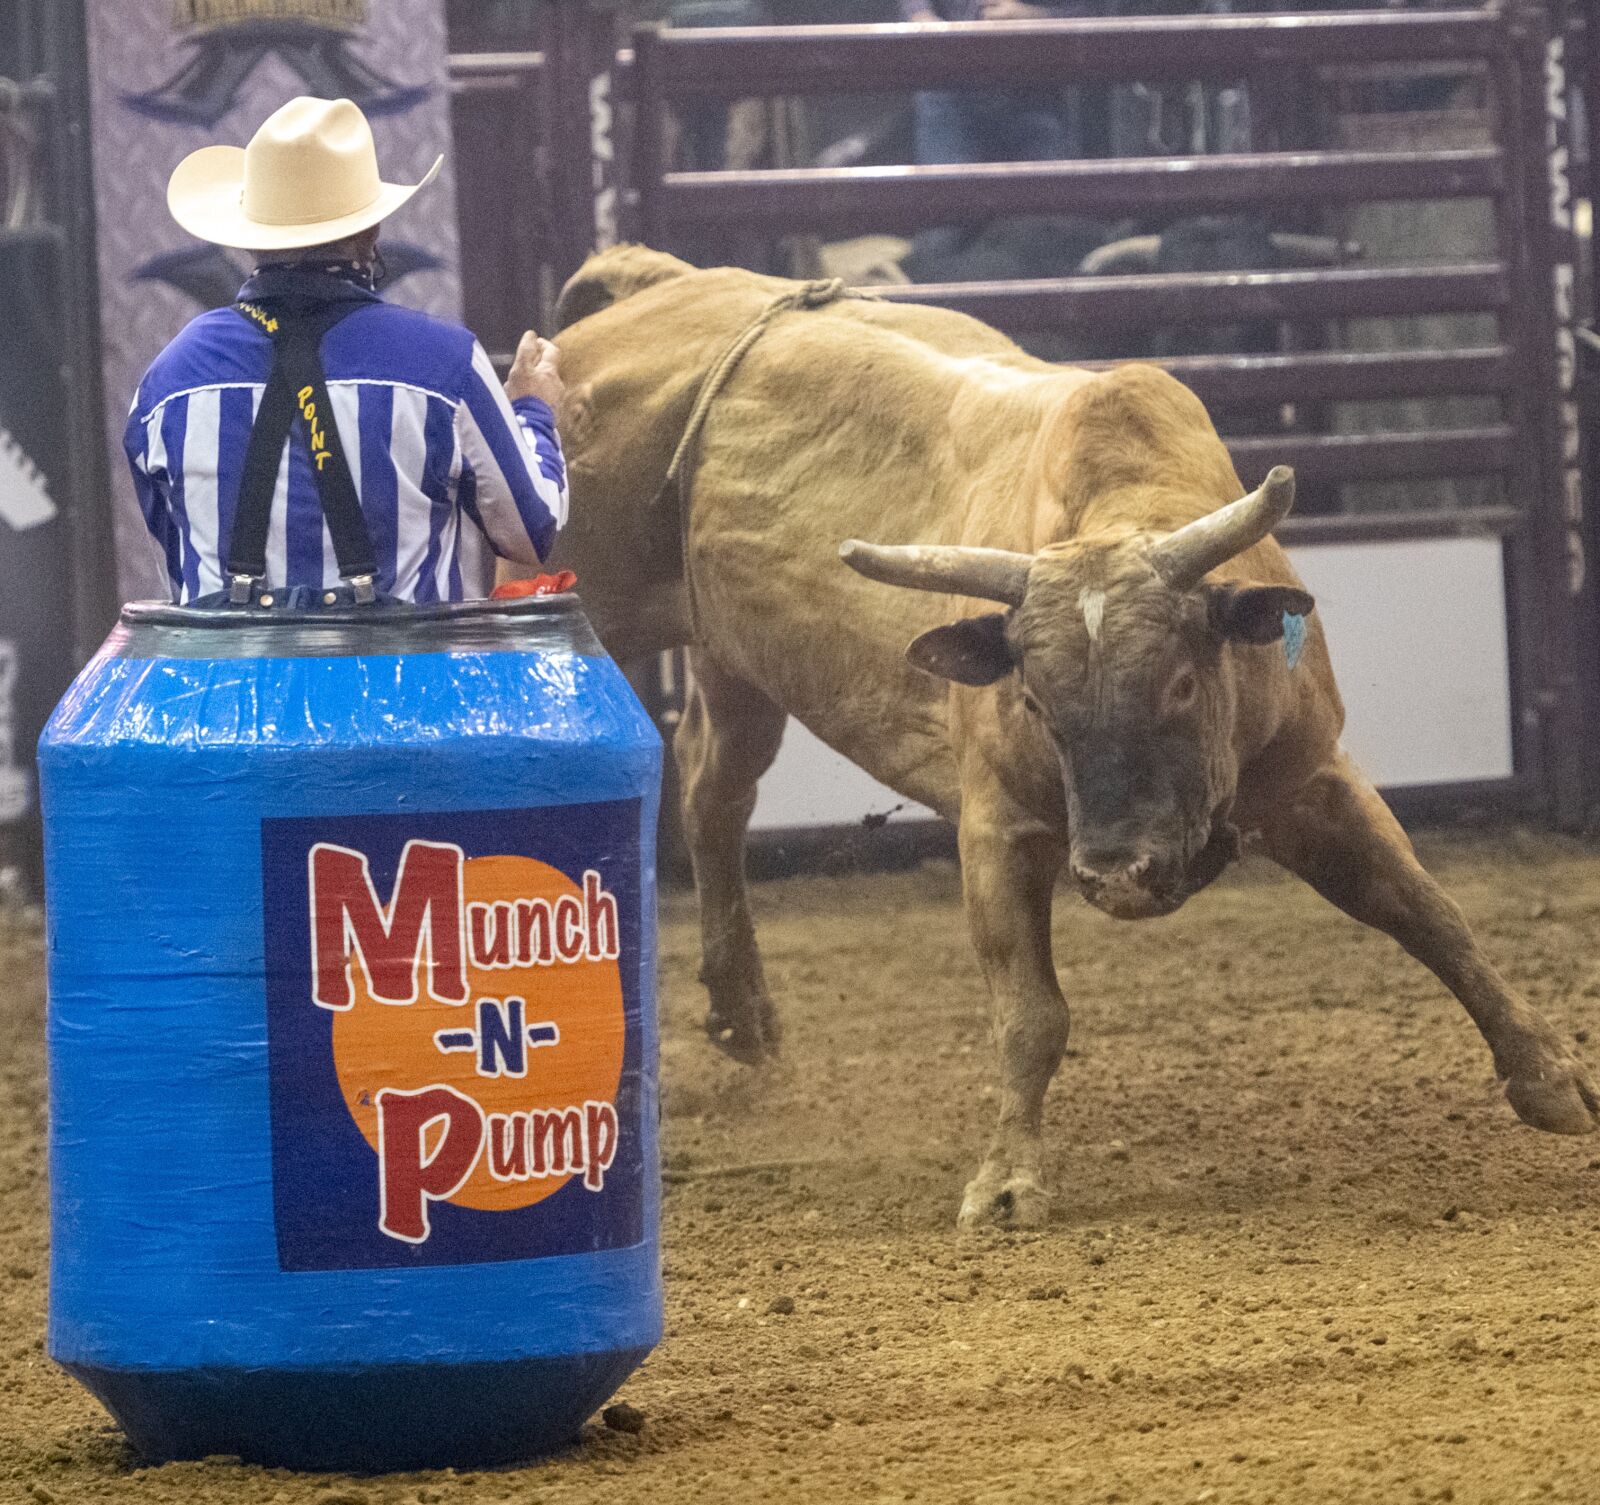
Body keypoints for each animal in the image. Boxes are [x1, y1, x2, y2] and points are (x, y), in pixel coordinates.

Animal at [544, 246, 1593, 1228]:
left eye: (1180, 683)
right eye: (1038, 704)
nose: (1117, 874)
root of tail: (657, 285)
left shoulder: (1308, 779)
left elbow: (1427, 912)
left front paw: (1551, 1076)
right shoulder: (999, 828)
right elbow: (1030, 1014)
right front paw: (1007, 1178)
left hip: (738, 655)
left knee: (712, 789)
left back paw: (742, 1013)